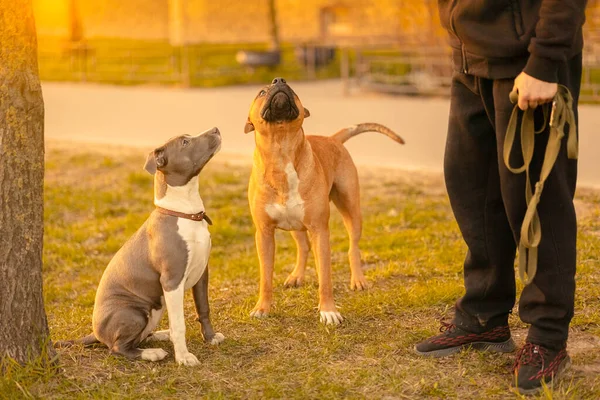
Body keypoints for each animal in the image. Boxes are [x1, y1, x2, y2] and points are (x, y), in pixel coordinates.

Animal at [56, 128, 223, 366]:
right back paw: (152, 353)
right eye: (184, 142)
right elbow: (179, 324)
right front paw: (183, 357)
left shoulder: (202, 273)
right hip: (133, 313)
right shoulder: (172, 281)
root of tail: (95, 333)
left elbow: (204, 308)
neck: (185, 213)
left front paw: (210, 337)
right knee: (118, 348)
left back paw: (161, 335)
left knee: (141, 336)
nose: (216, 129)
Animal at [243, 77, 404, 324]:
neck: (281, 149)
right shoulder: (264, 234)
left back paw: (358, 279)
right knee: (304, 247)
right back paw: (296, 276)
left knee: (352, 248)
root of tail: (333, 139)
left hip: (350, 209)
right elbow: (265, 277)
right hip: (297, 226)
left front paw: (328, 311)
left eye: (293, 90)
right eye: (261, 92)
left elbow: (326, 279)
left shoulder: (320, 229)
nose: (279, 80)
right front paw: (262, 307)